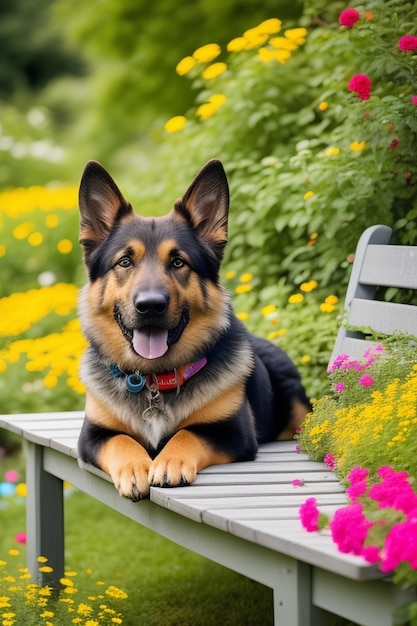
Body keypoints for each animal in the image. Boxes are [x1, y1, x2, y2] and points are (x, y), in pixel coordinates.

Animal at [77, 158, 308, 500]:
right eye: (124, 262)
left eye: (178, 262)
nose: (150, 306)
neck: (155, 381)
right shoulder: (93, 436)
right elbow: (121, 440)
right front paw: (134, 467)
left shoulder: (233, 433)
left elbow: (187, 433)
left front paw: (169, 461)